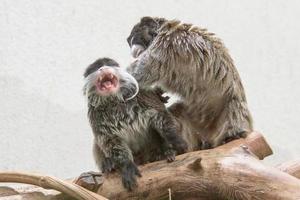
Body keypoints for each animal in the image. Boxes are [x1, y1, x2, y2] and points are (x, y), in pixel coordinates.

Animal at [83, 57, 188, 190]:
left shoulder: (142, 94)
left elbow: (160, 116)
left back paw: (165, 153)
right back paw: (109, 163)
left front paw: (177, 141)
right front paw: (127, 165)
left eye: (108, 65)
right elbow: (109, 140)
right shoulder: (95, 115)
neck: (114, 100)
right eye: (96, 69)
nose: (103, 69)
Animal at [126, 16, 253, 148]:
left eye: (136, 38)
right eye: (130, 41)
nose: (133, 50)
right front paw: (157, 92)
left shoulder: (164, 44)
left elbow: (138, 75)